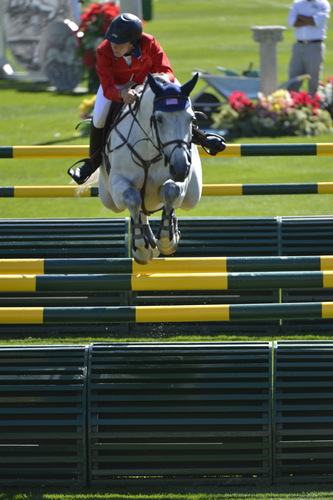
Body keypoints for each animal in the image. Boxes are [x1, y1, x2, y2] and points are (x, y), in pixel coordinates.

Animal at [96, 73, 201, 266]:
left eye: (192, 119)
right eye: (159, 119)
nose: (181, 167)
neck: (149, 146)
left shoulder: (178, 179)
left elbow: (170, 190)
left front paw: (167, 238)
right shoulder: (118, 181)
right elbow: (132, 198)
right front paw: (141, 248)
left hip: (191, 196)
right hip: (109, 200)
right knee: (139, 208)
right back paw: (148, 242)